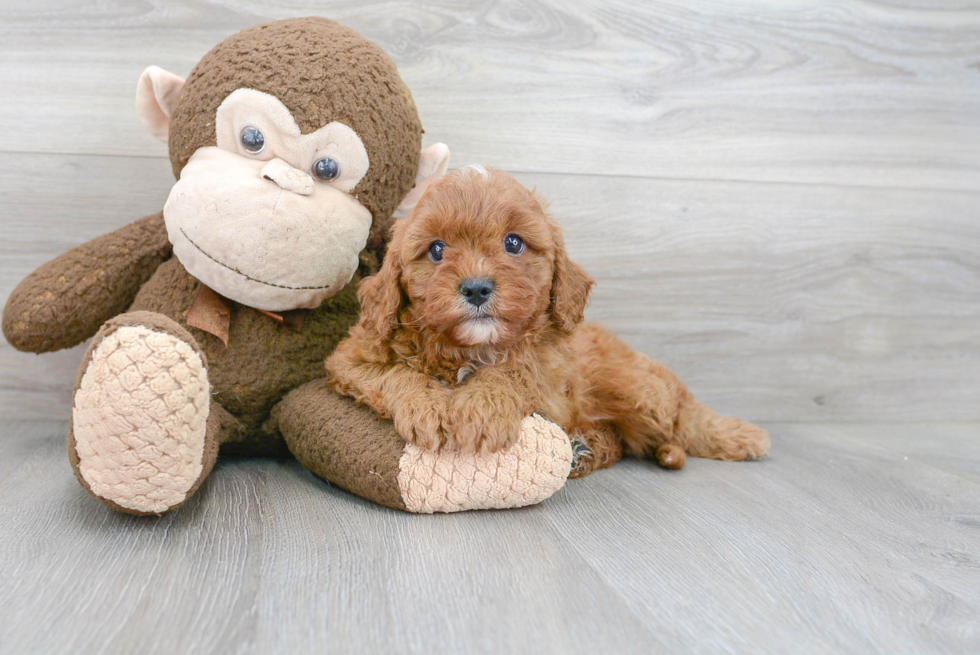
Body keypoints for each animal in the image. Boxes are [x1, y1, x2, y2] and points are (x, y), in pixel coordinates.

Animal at [326, 163, 768, 472]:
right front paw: (429, 407)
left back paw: (739, 436)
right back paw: (584, 450)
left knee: (683, 420)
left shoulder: (551, 373)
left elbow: (514, 372)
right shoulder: (351, 359)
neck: (470, 349)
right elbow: (394, 374)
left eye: (513, 243)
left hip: (642, 393)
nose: (476, 288)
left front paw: (480, 411)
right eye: (436, 250)